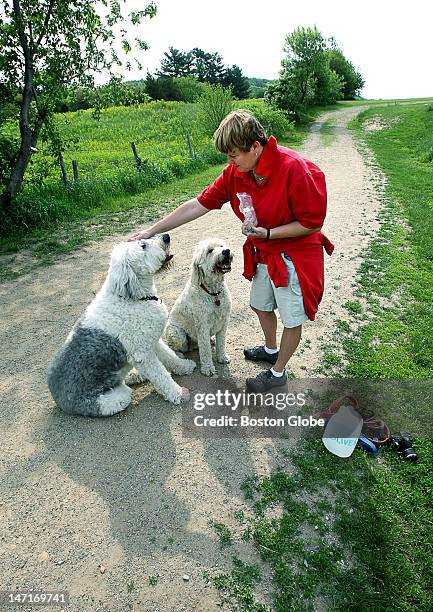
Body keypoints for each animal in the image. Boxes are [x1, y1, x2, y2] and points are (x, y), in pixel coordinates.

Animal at [48, 234, 195, 416]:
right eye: (143, 246)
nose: (166, 237)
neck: (132, 298)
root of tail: (56, 397)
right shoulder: (142, 355)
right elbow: (161, 376)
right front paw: (179, 394)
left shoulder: (151, 340)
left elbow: (170, 356)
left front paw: (185, 366)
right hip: (110, 401)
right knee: (124, 393)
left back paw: (135, 375)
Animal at [165, 238, 233, 372]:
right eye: (210, 251)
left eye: (222, 246)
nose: (226, 251)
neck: (213, 293)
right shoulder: (202, 326)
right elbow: (205, 350)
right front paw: (208, 368)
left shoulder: (224, 322)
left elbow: (221, 342)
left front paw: (222, 357)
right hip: (176, 333)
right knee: (174, 347)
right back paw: (179, 355)